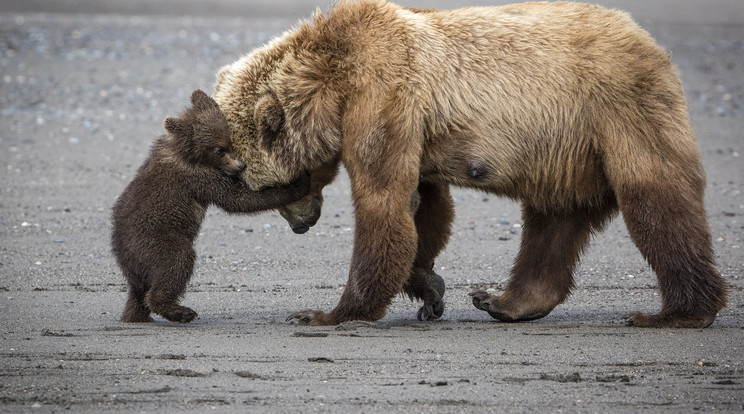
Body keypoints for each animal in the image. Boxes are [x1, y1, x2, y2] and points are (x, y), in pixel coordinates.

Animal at [214, 0, 728, 326]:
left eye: (267, 187)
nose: (302, 225)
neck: (331, 82)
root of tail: (649, 41)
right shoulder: (412, 125)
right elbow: (423, 207)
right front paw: (429, 288)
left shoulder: (384, 94)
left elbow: (383, 201)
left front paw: (327, 312)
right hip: (564, 151)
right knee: (553, 221)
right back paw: (505, 301)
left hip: (617, 109)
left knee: (656, 199)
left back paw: (678, 312)